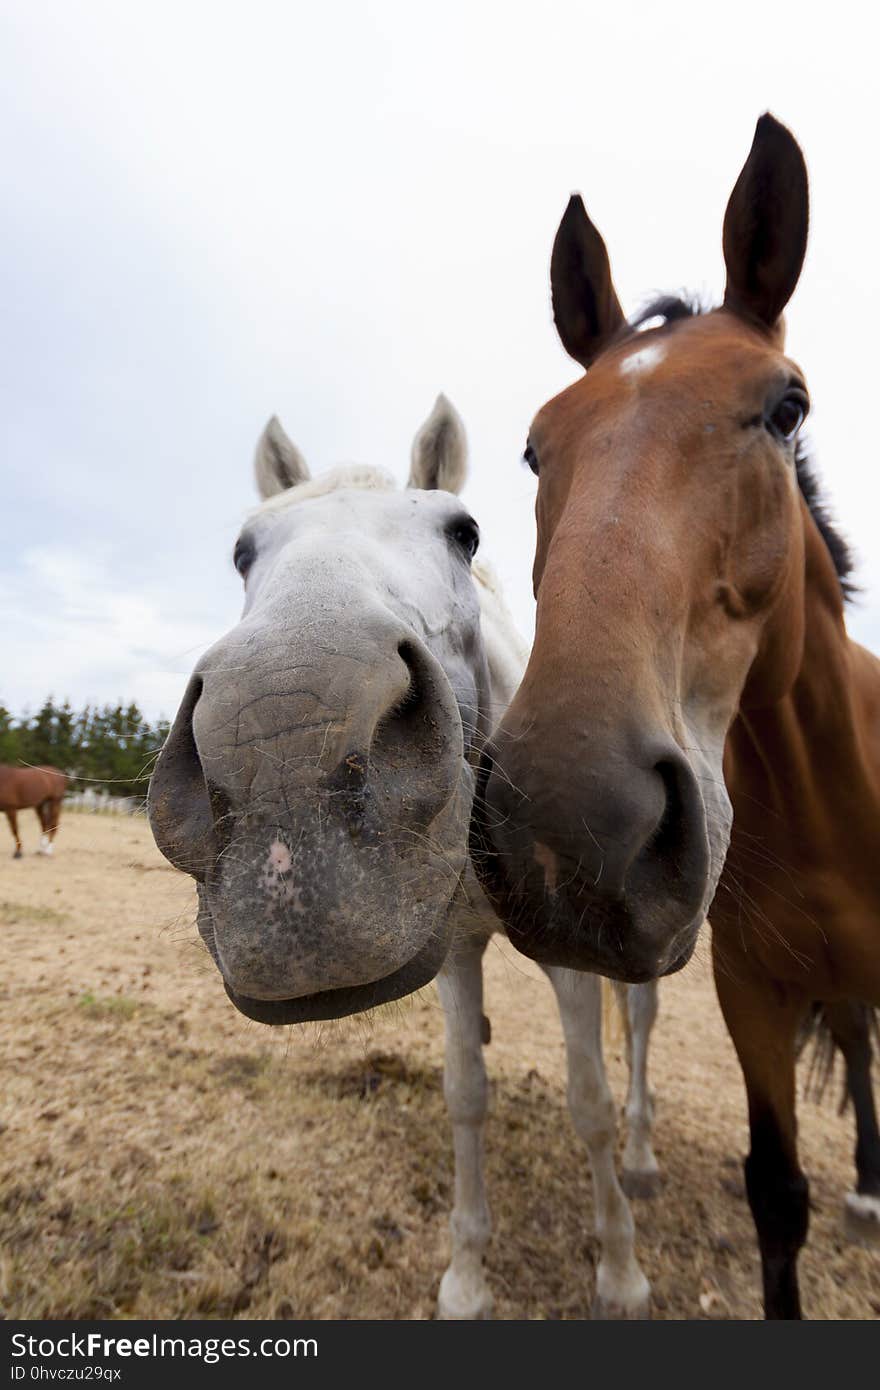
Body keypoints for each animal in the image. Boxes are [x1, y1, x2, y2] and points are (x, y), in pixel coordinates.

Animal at [150, 397, 656, 1317]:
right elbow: (466, 1097)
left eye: (465, 533)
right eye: (243, 550)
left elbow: (590, 1100)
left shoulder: (572, 956)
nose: (283, 740)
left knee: (636, 1031)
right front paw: (467, 1276)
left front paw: (620, 1271)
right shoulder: (452, 951)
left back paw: (640, 1163)